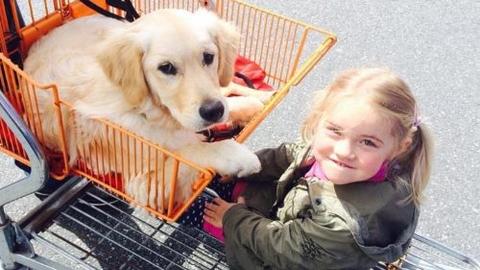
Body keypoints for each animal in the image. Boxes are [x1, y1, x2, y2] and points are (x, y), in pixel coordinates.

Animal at [23, 8, 260, 209]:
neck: (149, 111)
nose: (213, 111)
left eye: (208, 57)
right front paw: (235, 156)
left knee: (228, 86)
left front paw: (249, 106)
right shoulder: (145, 187)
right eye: (166, 68)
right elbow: (189, 151)